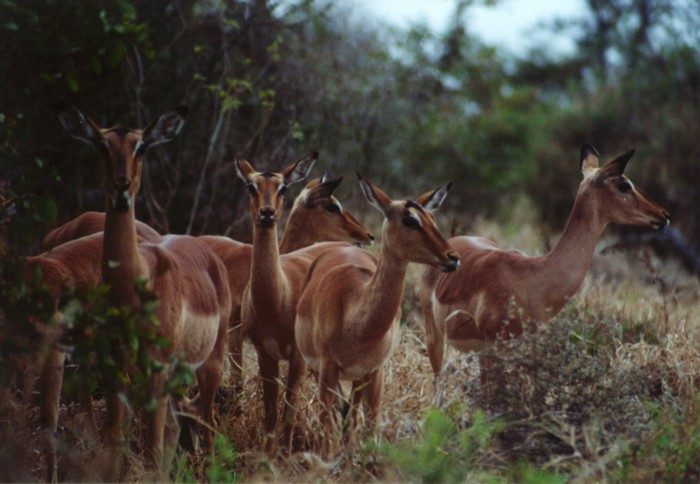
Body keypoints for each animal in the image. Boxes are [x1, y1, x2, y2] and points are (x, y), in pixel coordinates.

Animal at [58, 106, 231, 476]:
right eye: (102, 144)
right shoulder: (114, 370)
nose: (121, 187)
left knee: (208, 423)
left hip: (209, 362)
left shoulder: (155, 370)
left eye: (142, 146)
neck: (135, 285)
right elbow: (115, 444)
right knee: (177, 425)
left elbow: (151, 447)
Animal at [294, 174, 460, 458]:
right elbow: (327, 430)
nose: (453, 257)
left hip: (358, 378)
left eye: (432, 217)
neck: (354, 319)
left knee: (350, 415)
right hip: (318, 369)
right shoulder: (327, 368)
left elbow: (370, 426)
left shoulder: (374, 371)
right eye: (409, 220)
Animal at [418, 145, 668, 398]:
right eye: (624, 184)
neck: (532, 277)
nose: (663, 215)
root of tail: (451, 242)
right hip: (435, 337)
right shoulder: (494, 344)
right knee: (437, 383)